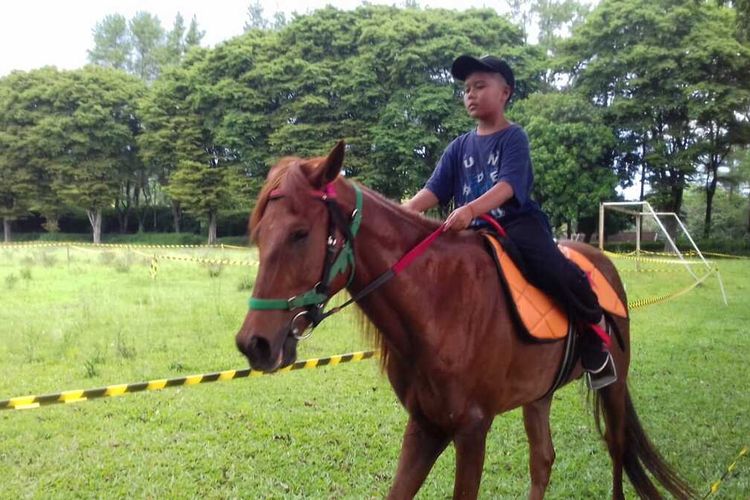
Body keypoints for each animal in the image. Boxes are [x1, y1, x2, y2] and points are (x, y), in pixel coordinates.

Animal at [236, 142, 700, 500]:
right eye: (258, 234)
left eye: (300, 234)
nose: (253, 344)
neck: (439, 305)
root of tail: (602, 262)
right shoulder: (426, 425)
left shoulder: (472, 428)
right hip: (539, 395)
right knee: (543, 460)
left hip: (615, 384)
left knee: (617, 449)